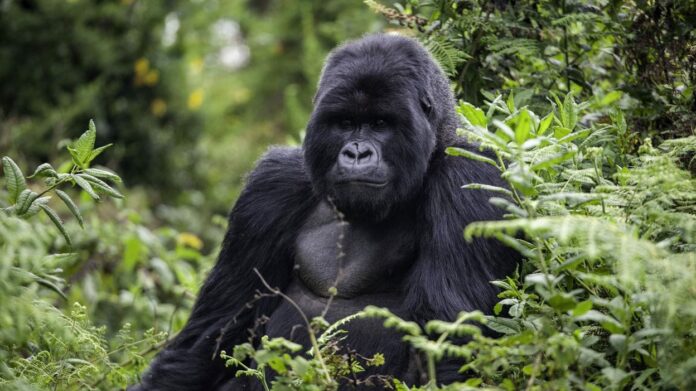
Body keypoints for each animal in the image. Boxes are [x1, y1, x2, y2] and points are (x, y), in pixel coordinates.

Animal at [135, 34, 516, 391]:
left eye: (380, 123)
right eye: (345, 122)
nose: (357, 153)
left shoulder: (468, 179)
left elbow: (449, 347)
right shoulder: (269, 187)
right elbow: (211, 337)